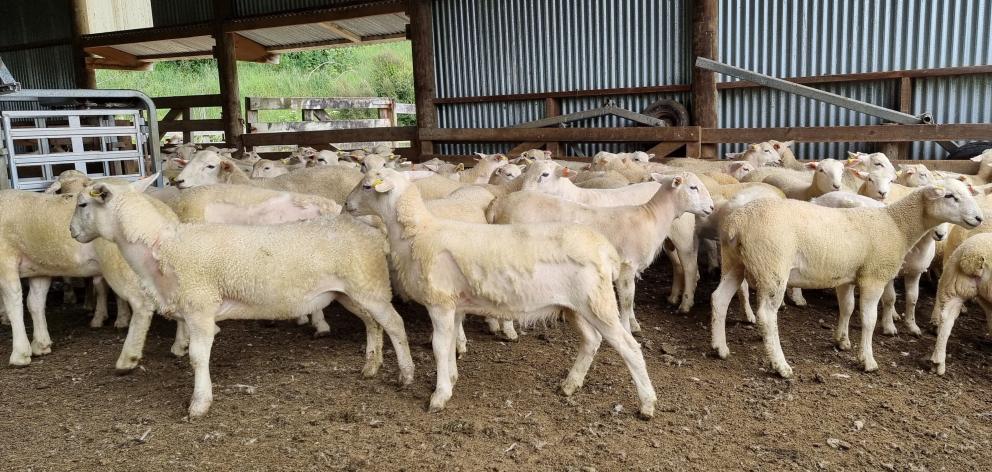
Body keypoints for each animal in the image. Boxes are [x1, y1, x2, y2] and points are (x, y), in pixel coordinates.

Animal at [69, 177, 415, 418]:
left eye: (83, 204)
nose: (72, 232)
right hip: (351, 291)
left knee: (395, 324)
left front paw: (199, 404)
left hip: (370, 285)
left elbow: (198, 357)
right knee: (373, 324)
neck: (162, 246)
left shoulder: (200, 306)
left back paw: (405, 374)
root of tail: (370, 229)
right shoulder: (191, 307)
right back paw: (370, 367)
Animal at [343, 168, 657, 417]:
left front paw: (439, 396)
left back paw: (647, 403)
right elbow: (451, 344)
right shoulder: (455, 305)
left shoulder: (440, 302)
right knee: (591, 341)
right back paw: (570, 385)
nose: (346, 205)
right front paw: (452, 379)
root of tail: (604, 248)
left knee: (629, 347)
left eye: (367, 186)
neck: (418, 234)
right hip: (575, 306)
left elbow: (439, 346)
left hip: (597, 302)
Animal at [489, 172, 714, 333]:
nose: (712, 208)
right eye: (693, 187)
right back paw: (507, 328)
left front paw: (632, 324)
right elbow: (626, 300)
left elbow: (629, 299)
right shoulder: (626, 265)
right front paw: (627, 329)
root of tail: (499, 205)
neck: (651, 217)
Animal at [711, 178, 984, 378]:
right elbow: (869, 319)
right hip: (772, 266)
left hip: (734, 262)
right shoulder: (874, 276)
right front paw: (868, 360)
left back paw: (720, 348)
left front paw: (842, 341)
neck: (897, 224)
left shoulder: (846, 277)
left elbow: (847, 308)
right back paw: (780, 366)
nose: (979, 218)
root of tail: (737, 223)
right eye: (950, 196)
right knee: (767, 316)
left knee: (719, 299)